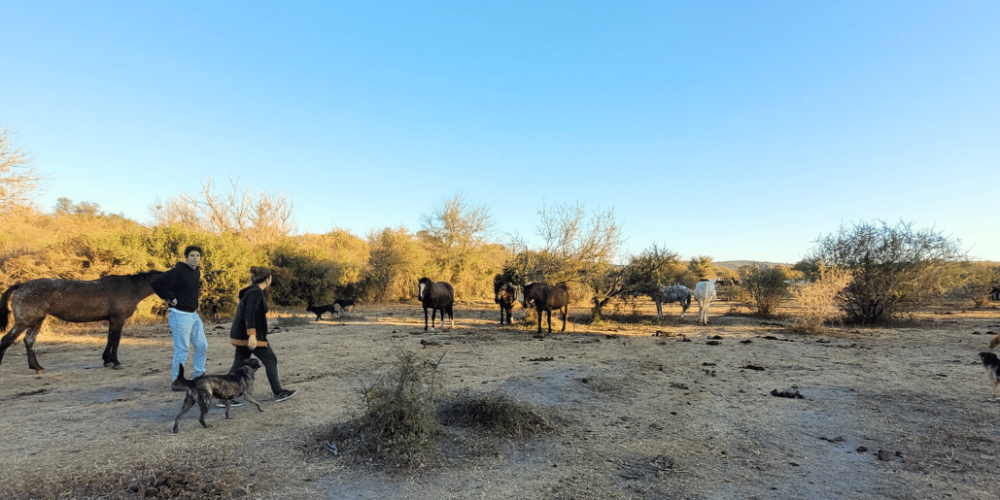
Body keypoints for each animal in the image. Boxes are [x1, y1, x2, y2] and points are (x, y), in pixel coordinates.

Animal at [1, 272, 162, 374]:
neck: (131, 287)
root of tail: (21, 285)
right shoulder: (118, 318)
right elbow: (116, 340)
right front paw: (115, 362)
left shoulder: (112, 319)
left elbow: (109, 339)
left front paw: (106, 360)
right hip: (25, 321)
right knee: (7, 339)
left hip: (36, 320)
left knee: (29, 340)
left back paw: (37, 367)